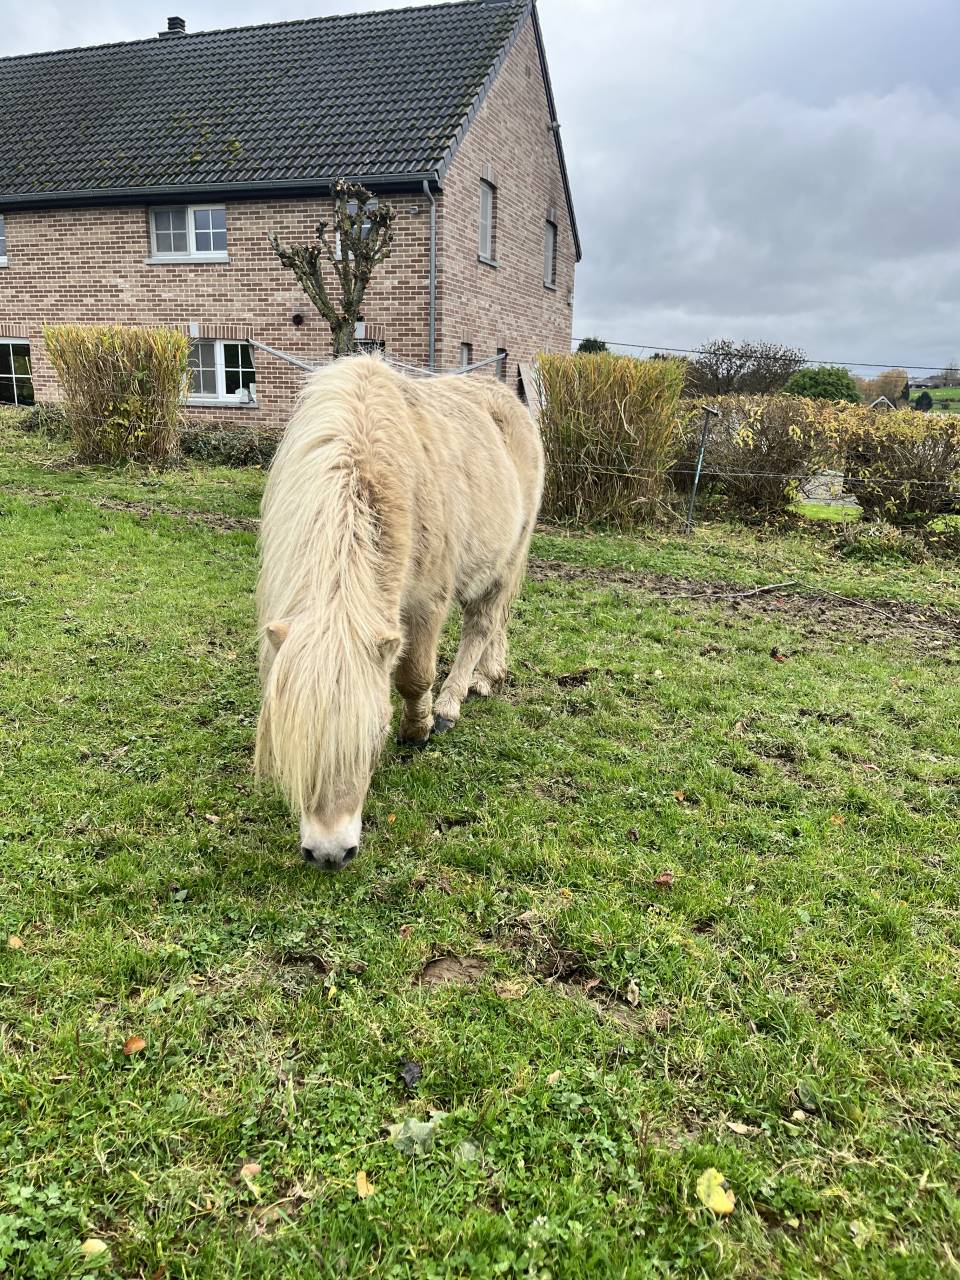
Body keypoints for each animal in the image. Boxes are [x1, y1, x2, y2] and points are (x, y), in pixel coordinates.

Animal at [254, 354, 544, 869]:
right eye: (294, 739)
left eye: (374, 736)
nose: (330, 854)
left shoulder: (426, 602)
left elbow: (414, 676)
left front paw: (419, 728)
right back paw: (489, 675)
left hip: (511, 555)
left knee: (483, 623)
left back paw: (453, 701)